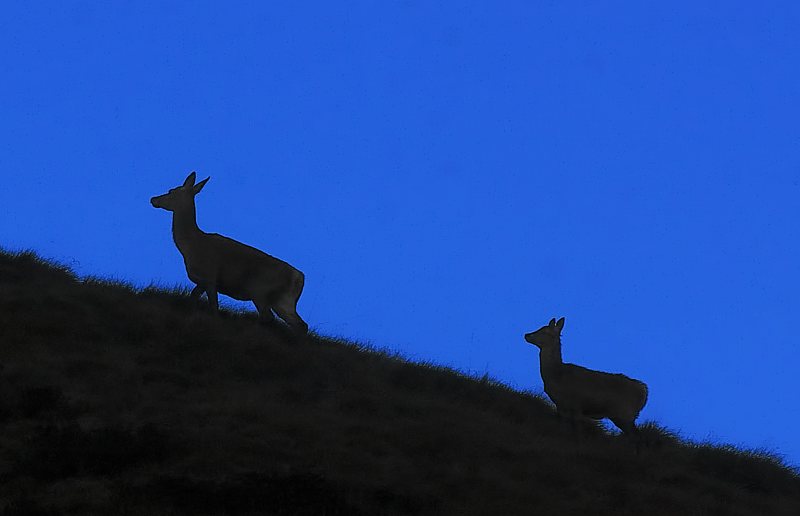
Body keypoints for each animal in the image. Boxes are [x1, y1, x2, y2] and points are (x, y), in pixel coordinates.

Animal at [150, 171, 308, 335]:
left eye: (171, 191)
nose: (153, 199)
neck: (190, 246)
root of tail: (298, 277)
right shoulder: (201, 281)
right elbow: (193, 298)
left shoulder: (209, 276)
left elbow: (214, 307)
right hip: (284, 300)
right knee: (300, 324)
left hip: (260, 290)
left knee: (268, 317)